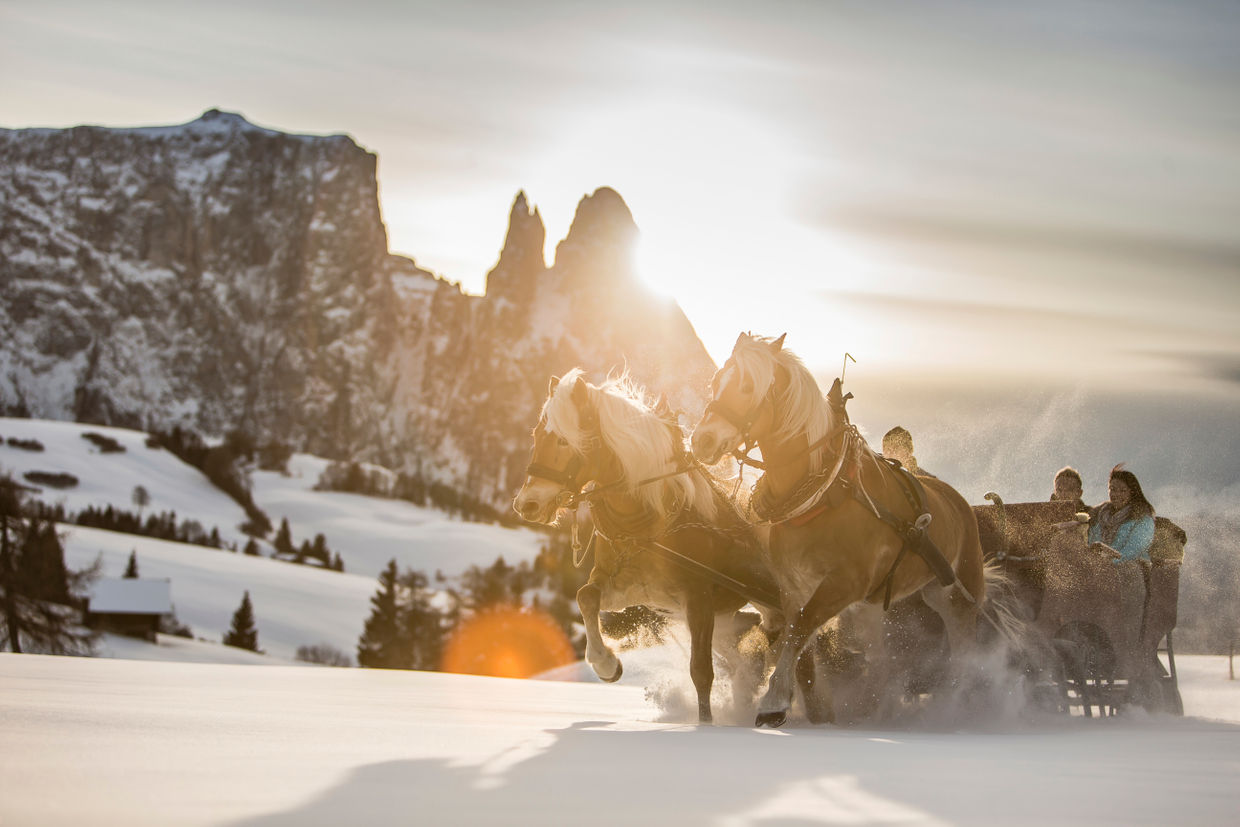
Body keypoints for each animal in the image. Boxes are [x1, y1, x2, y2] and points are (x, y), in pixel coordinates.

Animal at [513, 369, 783, 724]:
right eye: (536, 435)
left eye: (562, 439)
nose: (526, 504)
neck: (648, 521)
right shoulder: (630, 589)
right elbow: (585, 597)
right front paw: (606, 664)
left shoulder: (698, 598)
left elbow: (701, 672)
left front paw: (706, 724)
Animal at [694, 332, 982, 729]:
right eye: (715, 382)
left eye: (748, 385)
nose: (701, 440)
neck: (825, 493)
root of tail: (958, 500)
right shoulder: (795, 584)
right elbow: (796, 635)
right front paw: (809, 705)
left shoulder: (845, 583)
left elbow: (801, 628)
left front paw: (774, 701)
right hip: (887, 601)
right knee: (878, 653)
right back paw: (872, 706)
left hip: (958, 590)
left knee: (965, 640)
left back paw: (962, 701)